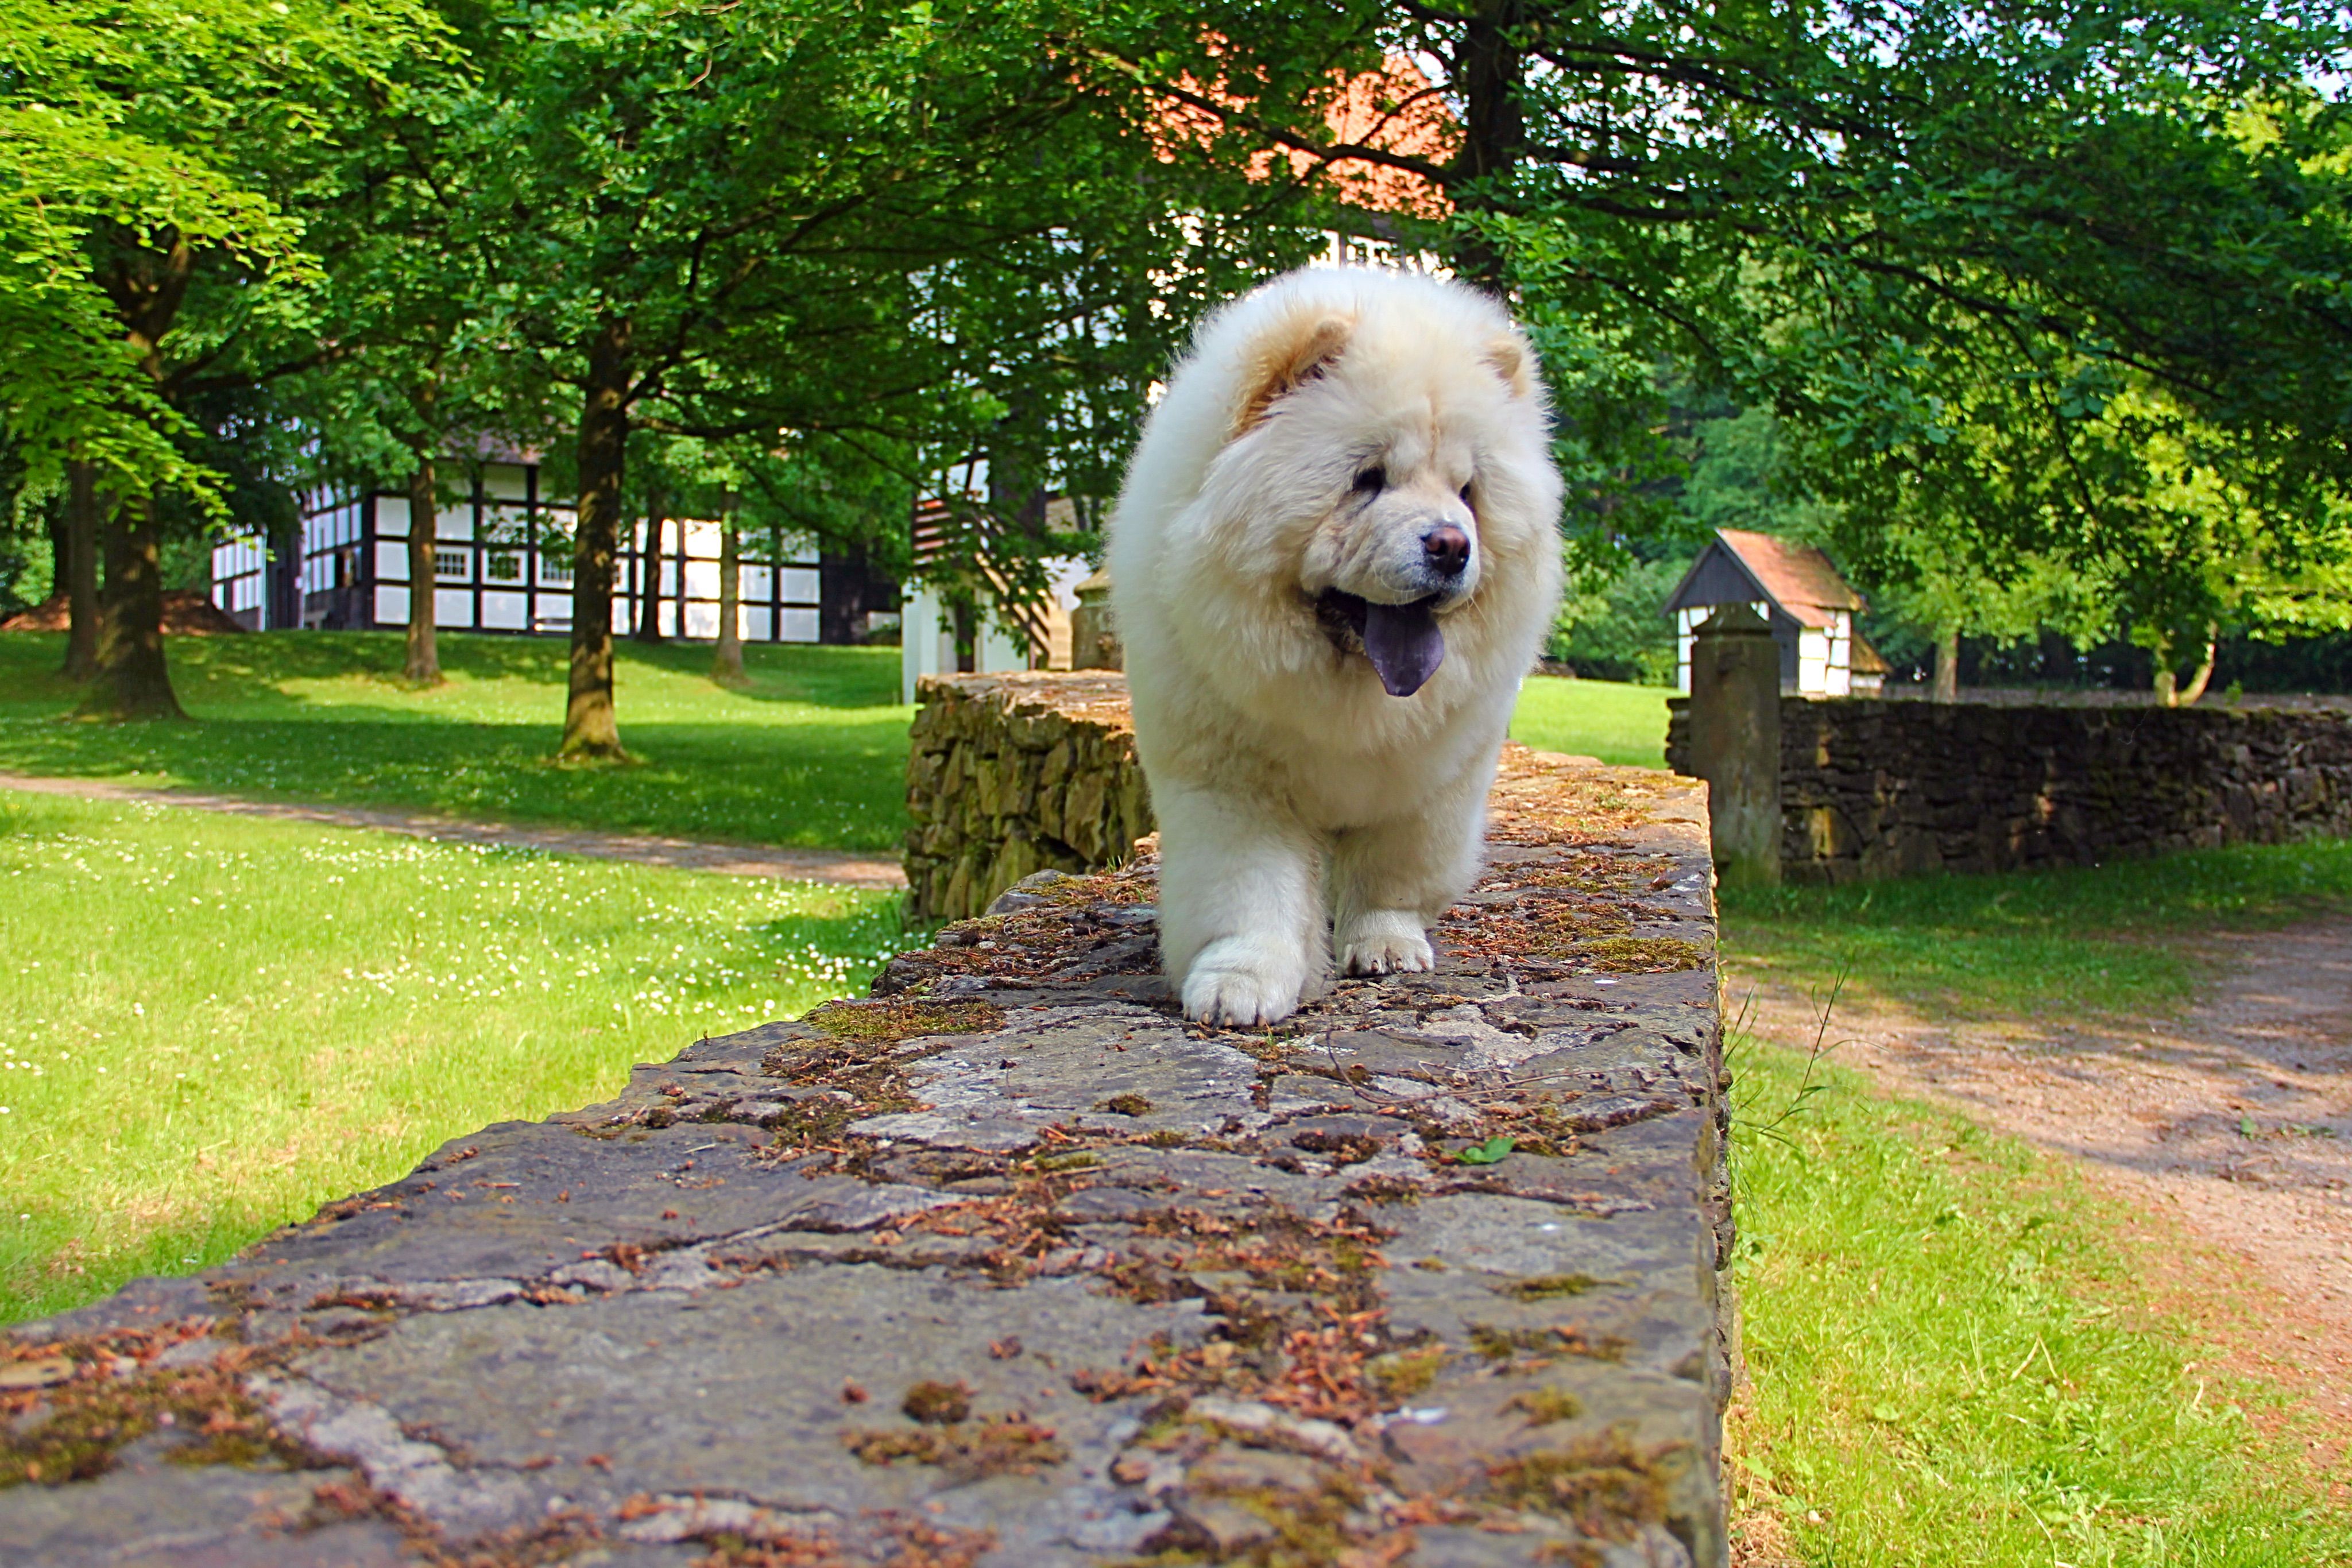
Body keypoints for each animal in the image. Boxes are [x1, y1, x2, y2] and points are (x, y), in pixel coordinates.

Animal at [1106, 266, 1565, 1026]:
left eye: (1467, 491)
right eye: (1367, 478)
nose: (1451, 544)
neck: (1348, 694)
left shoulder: (1430, 782)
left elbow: (1391, 875)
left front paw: (1385, 945)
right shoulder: (1235, 781)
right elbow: (1249, 890)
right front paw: (1242, 983)